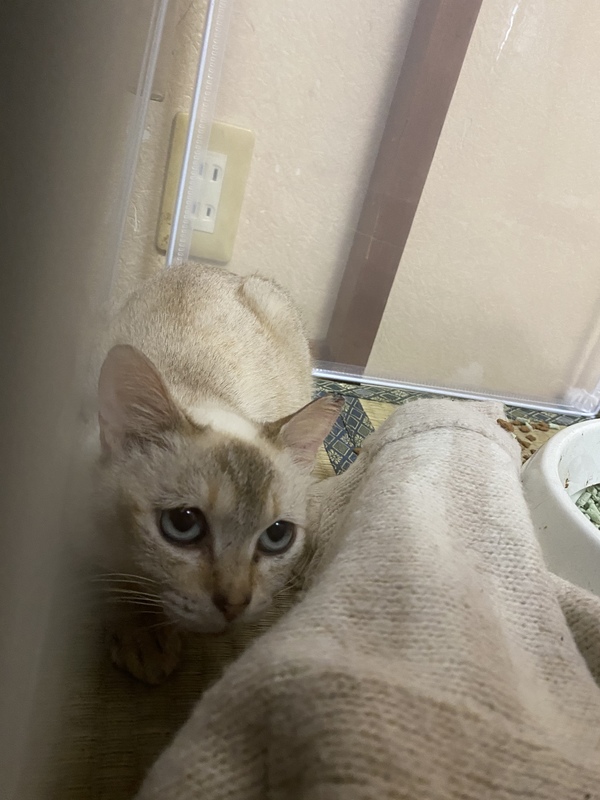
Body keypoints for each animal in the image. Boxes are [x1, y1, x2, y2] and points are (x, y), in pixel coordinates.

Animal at [85, 264, 342, 684]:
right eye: (183, 523)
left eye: (277, 536)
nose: (235, 605)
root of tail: (211, 268)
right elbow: (115, 579)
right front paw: (142, 634)